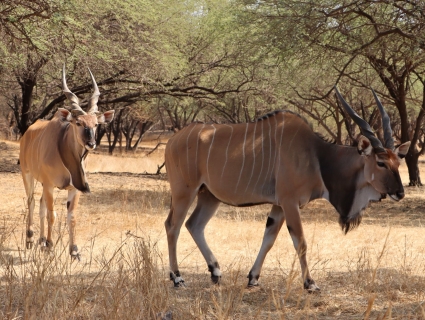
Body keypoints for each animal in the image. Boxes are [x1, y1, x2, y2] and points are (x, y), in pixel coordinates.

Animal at [19, 66, 114, 258]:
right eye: (78, 122)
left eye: (95, 124)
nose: (91, 143)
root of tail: (27, 134)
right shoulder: (49, 185)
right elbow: (52, 215)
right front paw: (50, 246)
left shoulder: (73, 188)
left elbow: (72, 217)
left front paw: (74, 251)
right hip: (28, 175)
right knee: (32, 202)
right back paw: (31, 239)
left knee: (40, 203)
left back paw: (40, 240)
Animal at [164, 86, 410, 292]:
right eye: (381, 162)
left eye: (398, 161)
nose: (399, 192)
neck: (317, 155)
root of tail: (173, 139)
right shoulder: (290, 203)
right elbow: (300, 242)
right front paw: (310, 283)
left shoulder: (279, 206)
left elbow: (269, 239)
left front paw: (253, 278)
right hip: (184, 192)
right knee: (173, 226)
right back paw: (177, 278)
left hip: (209, 195)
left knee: (194, 225)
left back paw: (215, 271)